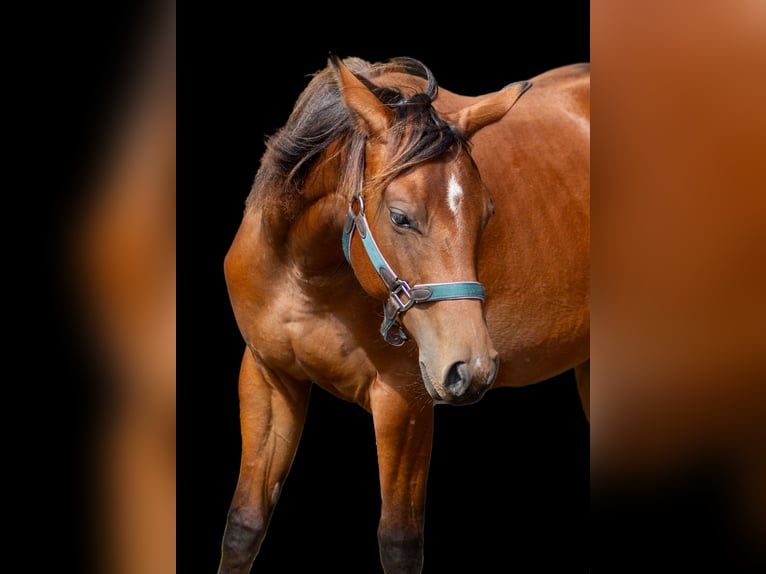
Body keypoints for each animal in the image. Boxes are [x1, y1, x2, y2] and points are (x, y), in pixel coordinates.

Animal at [218, 55, 589, 574]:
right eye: (399, 217)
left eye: (486, 214)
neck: (303, 272)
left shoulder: (403, 402)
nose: (472, 368)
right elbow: (245, 524)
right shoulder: (267, 375)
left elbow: (399, 540)